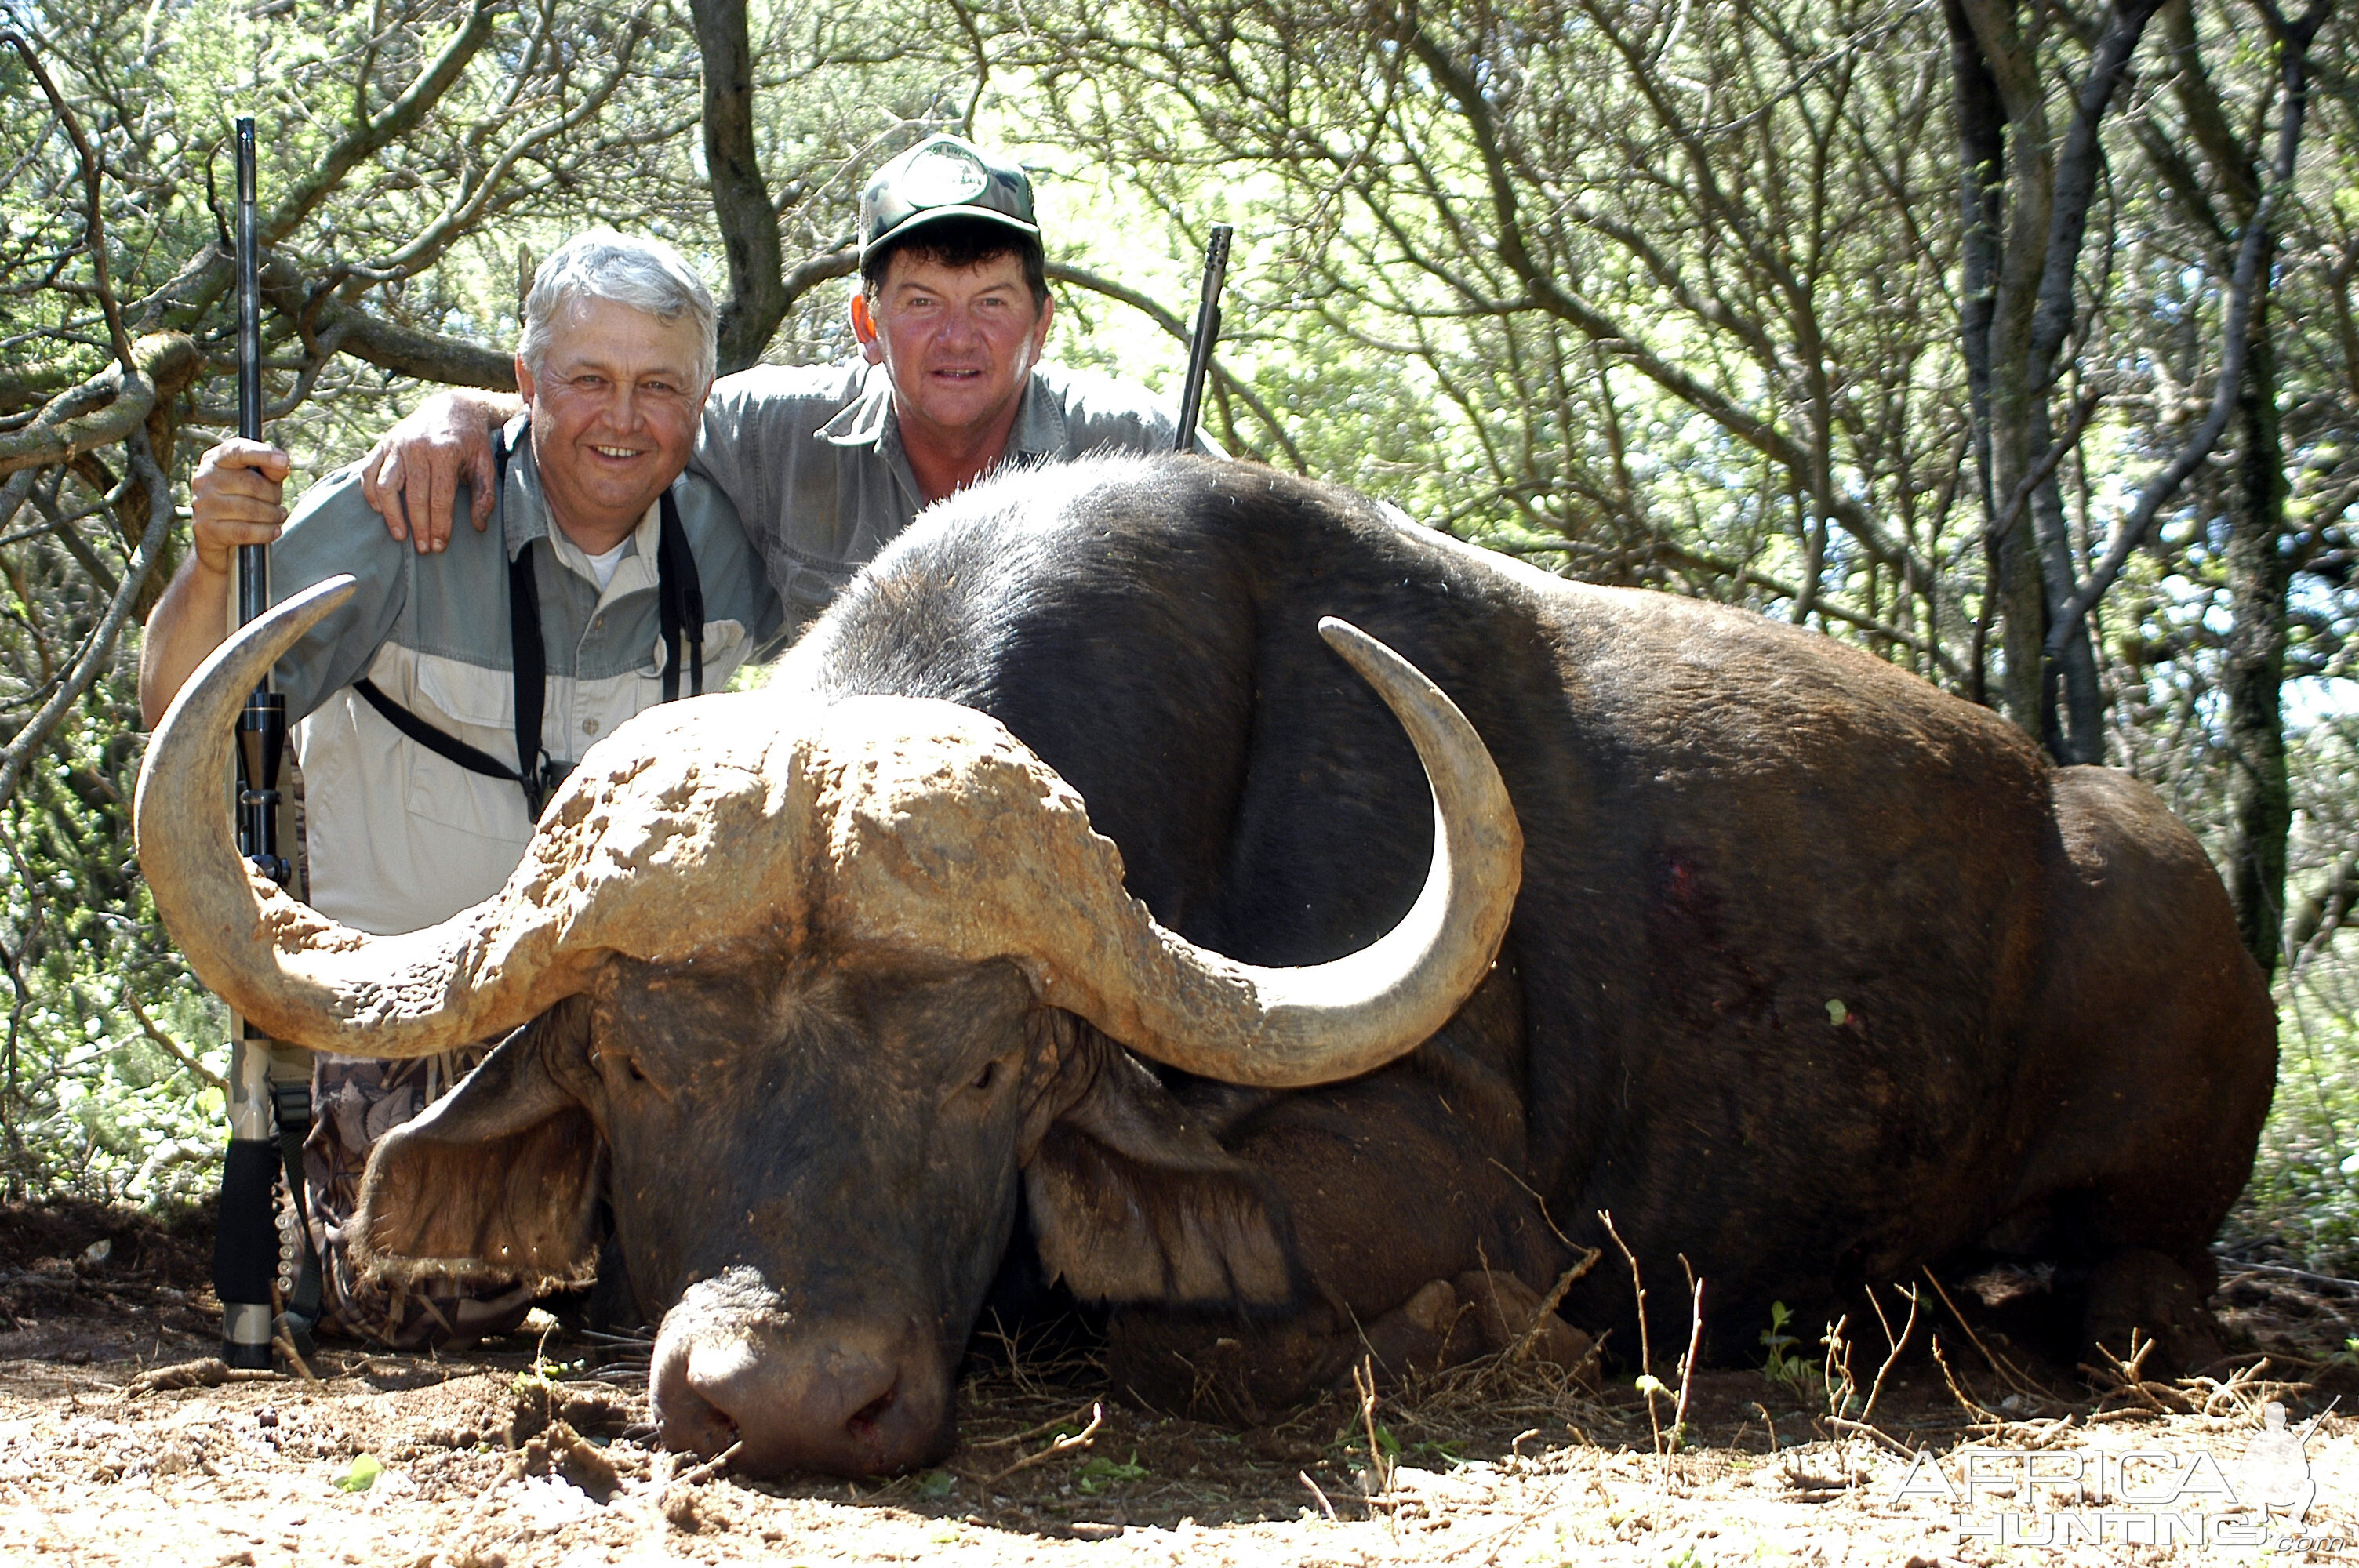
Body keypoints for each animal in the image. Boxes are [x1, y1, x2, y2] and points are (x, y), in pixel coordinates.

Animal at [137, 455, 2274, 1480]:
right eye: (644, 1057)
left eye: (990, 1067)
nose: (794, 1400)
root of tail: (2093, 821)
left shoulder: (1450, 1194)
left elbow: (1181, 1318)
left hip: (2149, 1210)